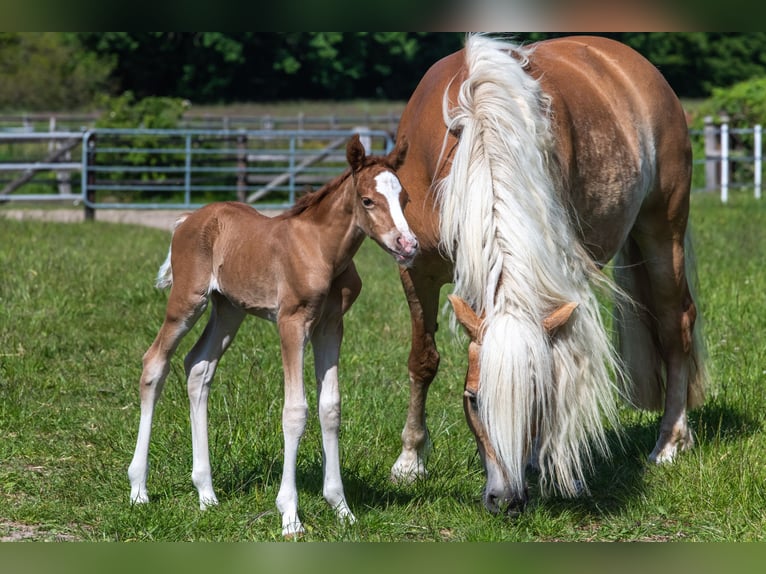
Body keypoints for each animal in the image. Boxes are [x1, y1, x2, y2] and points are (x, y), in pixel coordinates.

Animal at [130, 136, 420, 540]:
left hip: (229, 309)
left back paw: (206, 493)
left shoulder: (331, 325)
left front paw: (341, 508)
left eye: (404, 197)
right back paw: (138, 490)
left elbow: (330, 408)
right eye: (367, 200)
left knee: (198, 368)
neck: (322, 249)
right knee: (155, 363)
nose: (408, 245)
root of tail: (188, 220)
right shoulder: (291, 323)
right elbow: (295, 411)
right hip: (188, 300)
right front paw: (290, 516)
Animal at [392, 33, 712, 516]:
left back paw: (670, 442)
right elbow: (422, 361)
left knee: (677, 327)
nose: (505, 499)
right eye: (472, 400)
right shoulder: (419, 273)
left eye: (538, 402)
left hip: (663, 231)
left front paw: (557, 468)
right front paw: (410, 461)